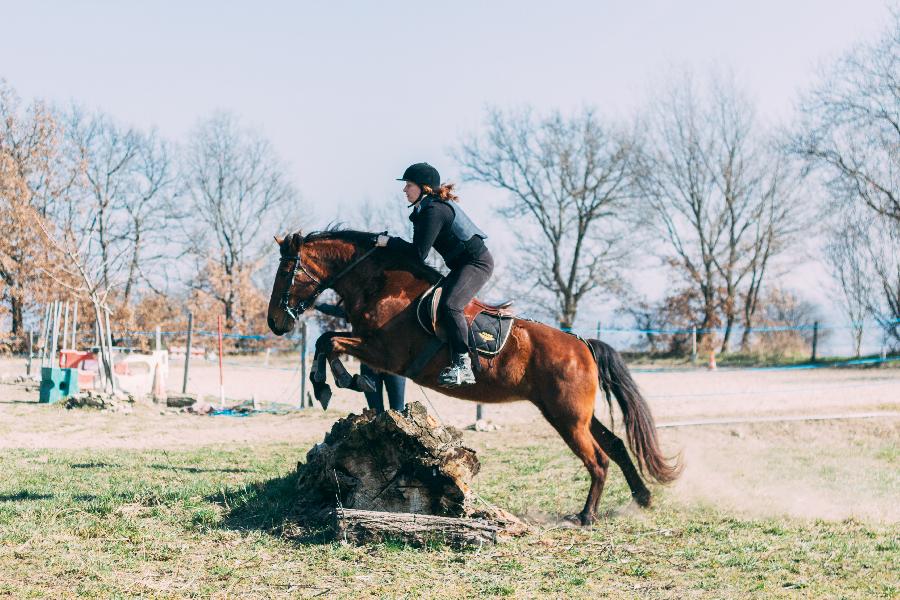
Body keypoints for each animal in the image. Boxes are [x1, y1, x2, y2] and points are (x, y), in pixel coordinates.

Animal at [268, 227, 684, 524]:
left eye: (286, 271)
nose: (274, 323)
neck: (381, 286)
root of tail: (583, 344)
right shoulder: (374, 350)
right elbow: (329, 344)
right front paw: (341, 383)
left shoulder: (383, 351)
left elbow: (329, 342)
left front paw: (332, 383)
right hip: (573, 414)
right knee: (615, 444)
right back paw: (641, 498)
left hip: (566, 417)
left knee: (598, 459)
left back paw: (586, 517)